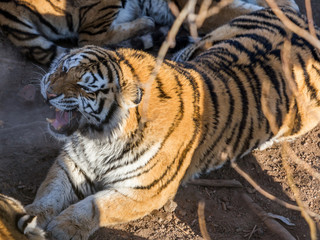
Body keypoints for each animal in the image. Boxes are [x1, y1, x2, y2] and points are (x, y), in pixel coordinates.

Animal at [23, 1, 320, 238]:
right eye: (63, 68)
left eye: (86, 88)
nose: (48, 92)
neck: (99, 137)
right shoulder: (72, 163)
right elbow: (50, 192)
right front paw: (32, 217)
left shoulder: (143, 191)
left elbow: (96, 207)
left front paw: (64, 227)